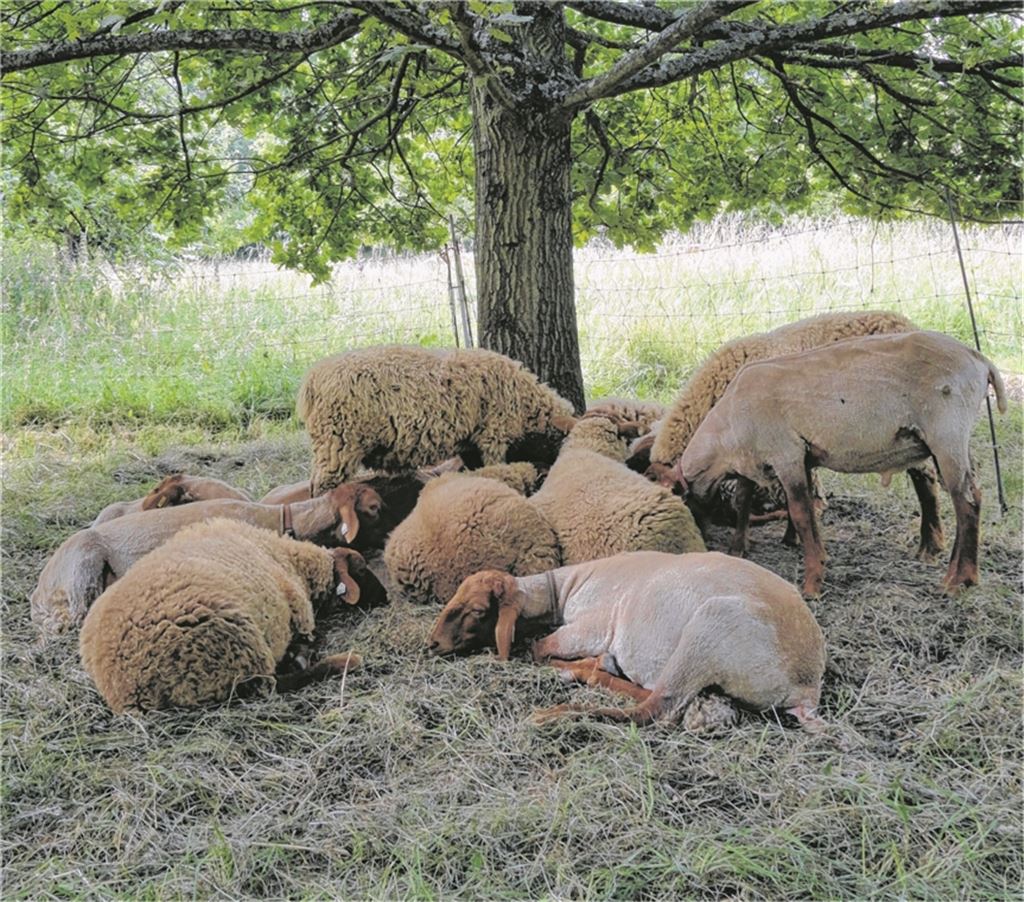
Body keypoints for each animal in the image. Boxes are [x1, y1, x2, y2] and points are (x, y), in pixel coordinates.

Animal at [79, 520, 379, 713]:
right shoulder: (300, 613)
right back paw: (343, 661)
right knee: (272, 685)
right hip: (237, 645)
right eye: (362, 570)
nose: (384, 597)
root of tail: (126, 689)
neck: (288, 558)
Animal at [298, 345, 577, 494]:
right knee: (322, 488)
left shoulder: (471, 444)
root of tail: (313, 378)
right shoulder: (493, 435)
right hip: (338, 443)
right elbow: (497, 467)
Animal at [427, 551, 826, 734]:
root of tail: (806, 685)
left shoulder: (593, 624)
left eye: (477, 610)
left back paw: (559, 707)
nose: (431, 644)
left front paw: (582, 665)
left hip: (710, 628)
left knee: (655, 708)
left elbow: (538, 649)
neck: (562, 590)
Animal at [676, 330, 1008, 596]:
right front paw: (744, 548)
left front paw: (811, 584)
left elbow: (801, 513)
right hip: (948, 443)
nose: (697, 547)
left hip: (947, 435)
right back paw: (957, 571)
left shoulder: (786, 453)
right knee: (969, 497)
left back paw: (960, 580)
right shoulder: (784, 460)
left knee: (968, 503)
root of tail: (981, 361)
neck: (726, 434)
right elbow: (760, 503)